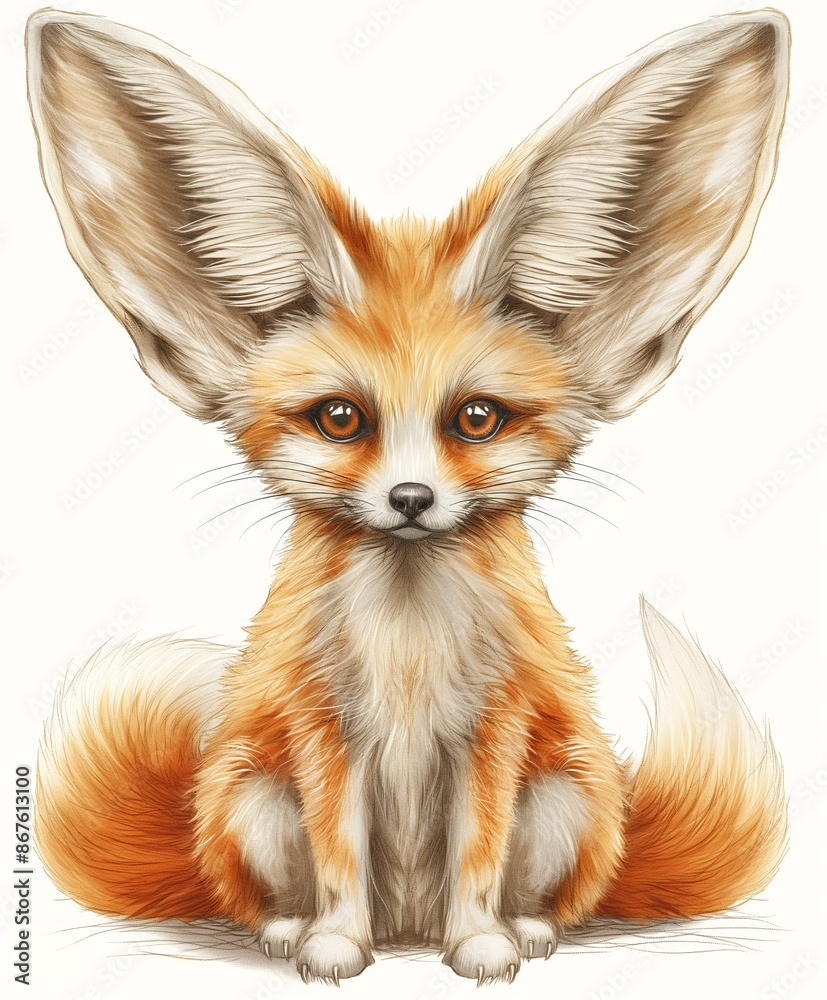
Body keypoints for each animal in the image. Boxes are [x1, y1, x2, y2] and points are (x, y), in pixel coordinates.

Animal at [27, 7, 790, 986]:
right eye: (341, 418)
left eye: (475, 417)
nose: (412, 497)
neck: (408, 649)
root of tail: (407, 928)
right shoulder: (321, 732)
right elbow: (339, 857)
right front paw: (331, 946)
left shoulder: (495, 732)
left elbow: (478, 856)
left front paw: (482, 946)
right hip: (251, 793)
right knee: (267, 892)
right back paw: (289, 930)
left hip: (566, 792)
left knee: (552, 891)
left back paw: (525, 930)